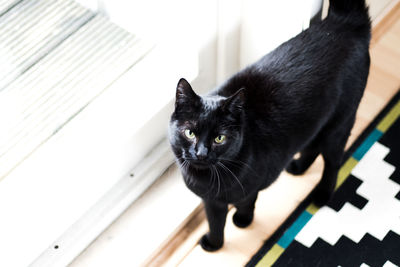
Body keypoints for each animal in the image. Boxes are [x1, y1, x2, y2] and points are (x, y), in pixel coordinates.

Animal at [167, 0, 370, 252]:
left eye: (219, 138)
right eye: (190, 132)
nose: (201, 153)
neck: (208, 179)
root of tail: (345, 22)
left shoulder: (249, 187)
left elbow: (247, 202)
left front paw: (242, 221)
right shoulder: (211, 201)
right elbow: (215, 222)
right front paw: (215, 244)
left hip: (339, 123)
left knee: (333, 161)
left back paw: (322, 194)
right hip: (316, 122)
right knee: (312, 146)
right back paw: (297, 167)